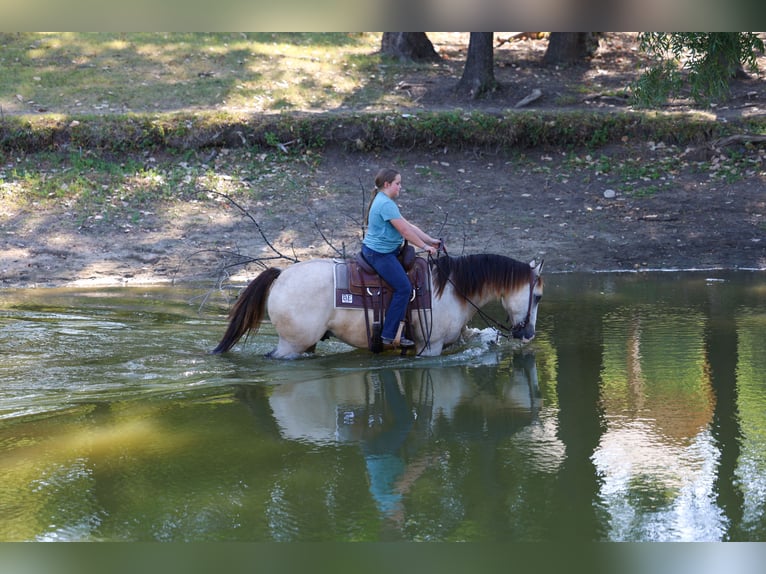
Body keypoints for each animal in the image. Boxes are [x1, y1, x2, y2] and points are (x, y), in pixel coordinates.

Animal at [212, 253, 544, 358]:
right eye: (538, 296)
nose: (528, 334)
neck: (451, 290)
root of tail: (281, 274)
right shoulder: (430, 348)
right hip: (291, 345)